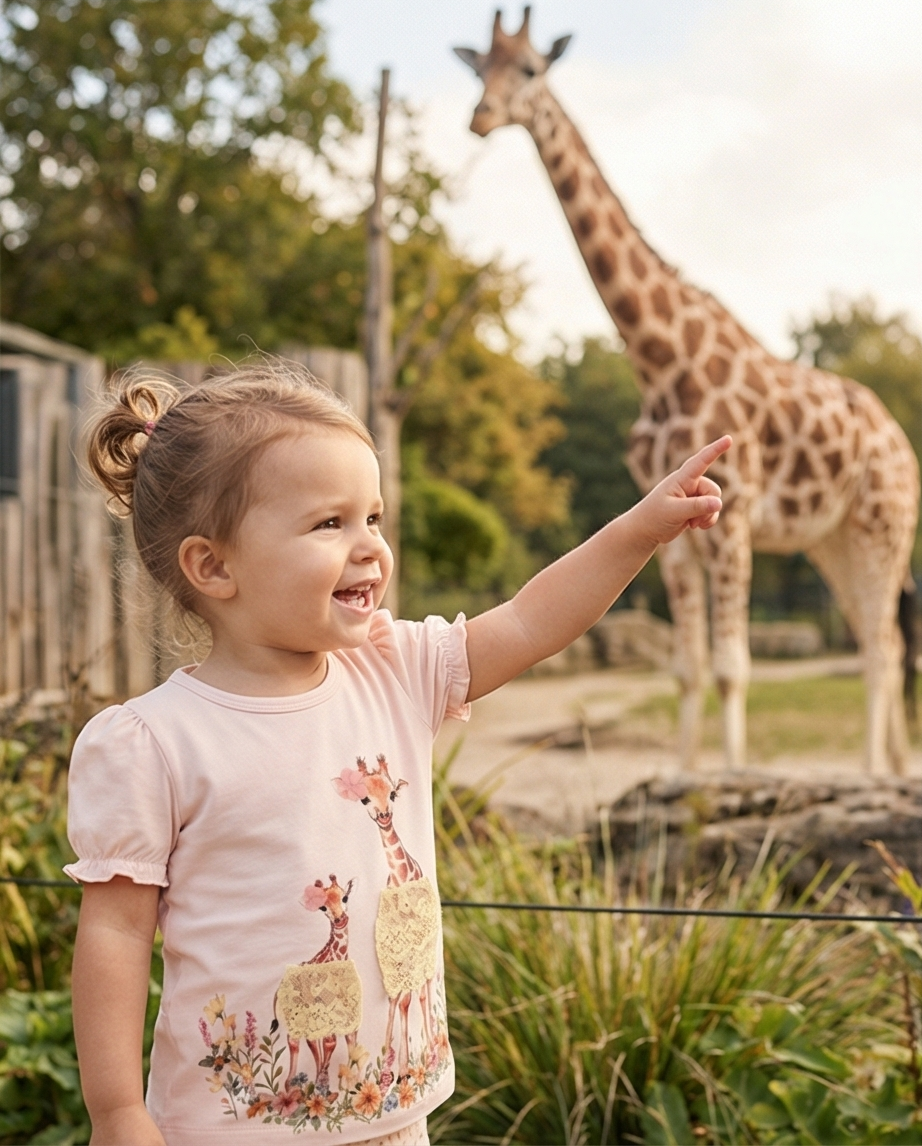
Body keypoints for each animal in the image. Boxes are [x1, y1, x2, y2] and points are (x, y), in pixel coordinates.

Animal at [270, 874, 360, 1090]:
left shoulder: (347, 1015)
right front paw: (323, 1084)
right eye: (322, 908)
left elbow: (347, 1041)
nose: (340, 920)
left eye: (345, 897)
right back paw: (293, 1086)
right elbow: (330, 1042)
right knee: (295, 1041)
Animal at [333, 755, 440, 1081]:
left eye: (393, 793)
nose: (383, 816)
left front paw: (407, 1066)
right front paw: (392, 1066)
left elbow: (409, 997)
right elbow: (397, 999)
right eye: (364, 797)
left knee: (424, 988)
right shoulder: (393, 954)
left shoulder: (414, 950)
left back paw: (430, 1048)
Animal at [454, 8, 920, 775]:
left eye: (530, 69)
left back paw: (871, 774)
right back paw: (891, 770)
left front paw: (732, 780)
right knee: (877, 639)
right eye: (477, 69)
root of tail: (900, 441)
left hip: (885, 524)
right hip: (833, 540)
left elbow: (732, 667)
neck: (658, 362)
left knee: (884, 647)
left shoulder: (735, 517)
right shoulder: (671, 524)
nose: (481, 117)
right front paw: (683, 778)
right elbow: (687, 668)